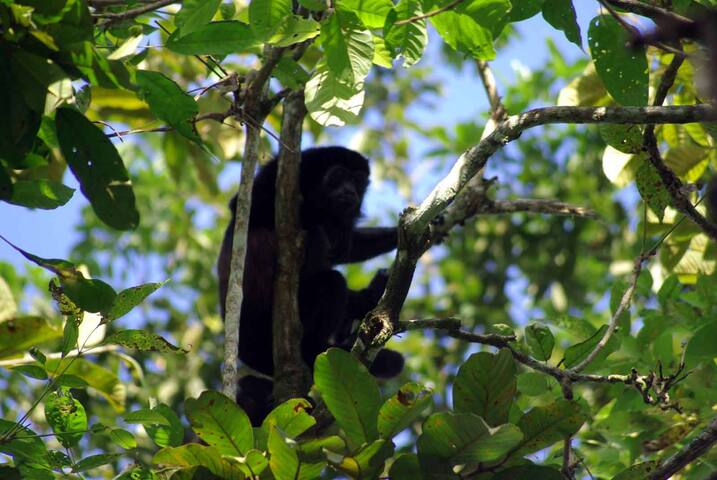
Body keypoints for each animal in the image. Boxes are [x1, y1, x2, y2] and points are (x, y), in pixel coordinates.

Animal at [218, 148, 402, 422]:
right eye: (338, 176)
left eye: (358, 181)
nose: (350, 191)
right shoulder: (274, 174)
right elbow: (249, 207)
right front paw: (323, 223)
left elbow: (345, 248)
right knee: (330, 280)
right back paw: (318, 347)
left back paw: (367, 299)